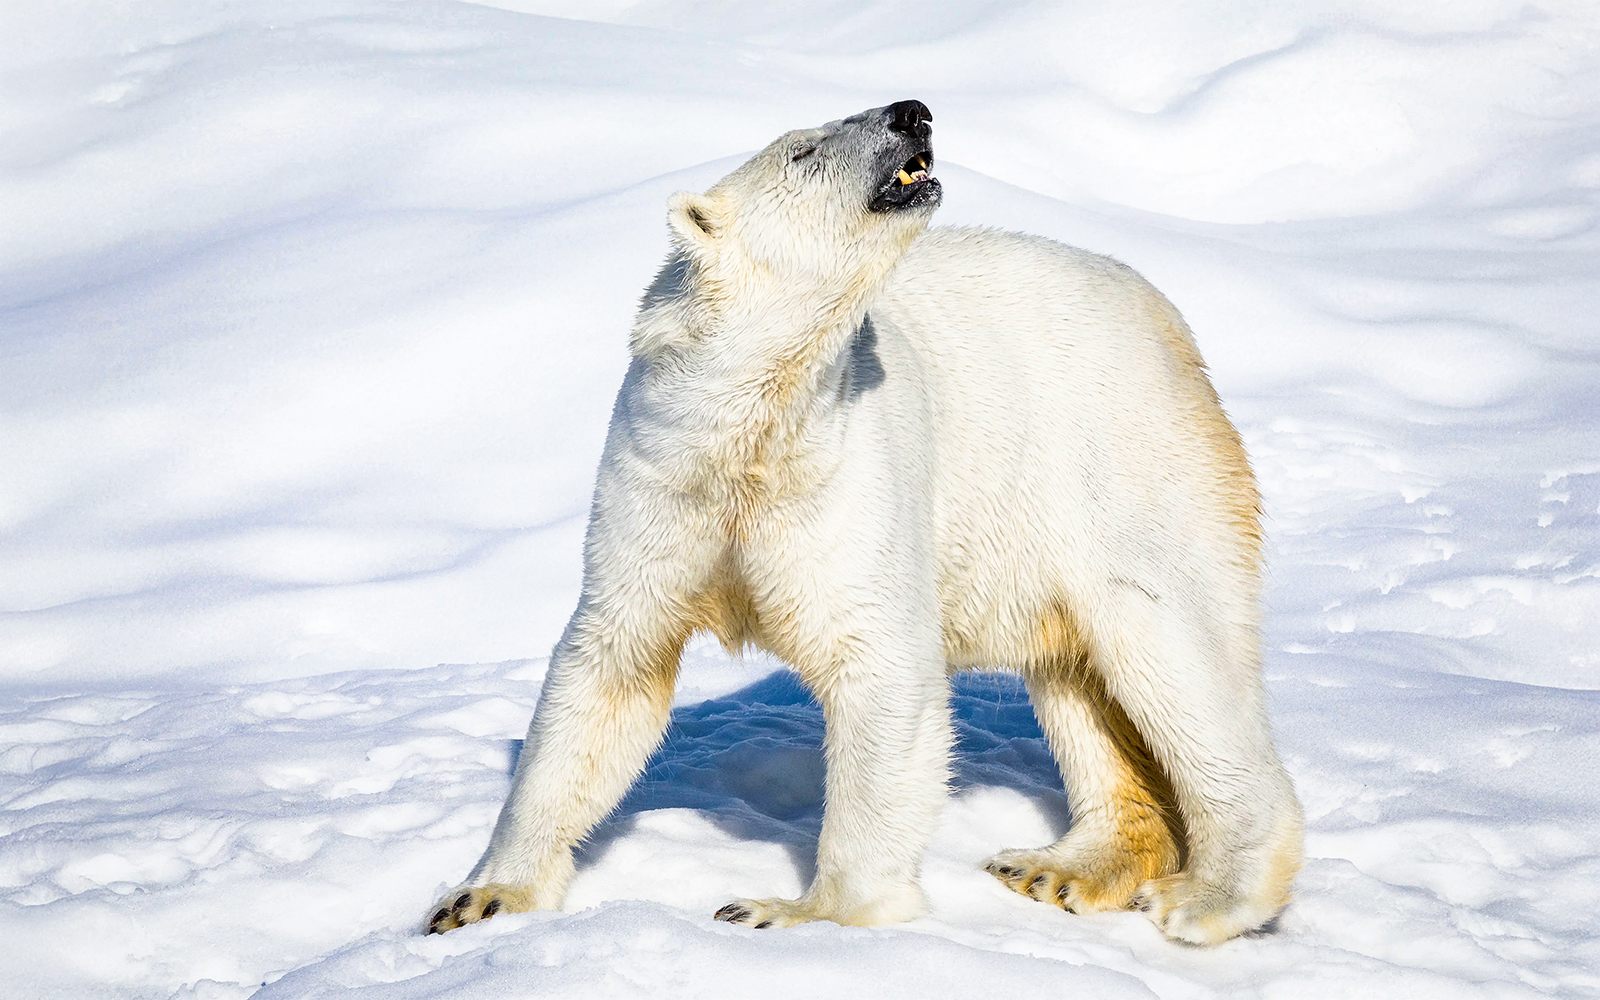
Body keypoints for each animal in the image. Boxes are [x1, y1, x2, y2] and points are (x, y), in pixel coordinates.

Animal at [427, 100, 1303, 946]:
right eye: (804, 151)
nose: (911, 111)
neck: (753, 431)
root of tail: (1166, 320)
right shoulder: (661, 482)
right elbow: (610, 670)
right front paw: (479, 901)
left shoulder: (850, 477)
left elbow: (880, 667)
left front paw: (788, 913)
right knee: (1078, 678)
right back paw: (1061, 868)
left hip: (1123, 469)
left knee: (1172, 651)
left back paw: (1208, 898)